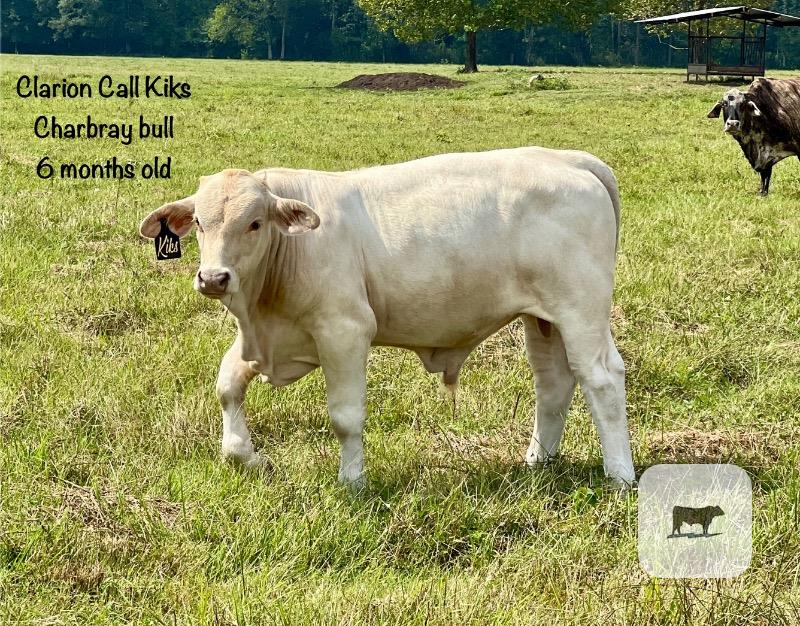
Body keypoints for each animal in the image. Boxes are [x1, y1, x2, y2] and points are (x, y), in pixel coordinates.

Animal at [138, 147, 635, 490]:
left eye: (255, 223)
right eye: (200, 223)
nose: (213, 277)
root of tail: (569, 159)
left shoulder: (344, 331)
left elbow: (345, 415)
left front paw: (352, 481)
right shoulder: (272, 340)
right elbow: (227, 385)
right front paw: (246, 455)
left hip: (581, 310)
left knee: (602, 379)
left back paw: (620, 474)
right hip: (543, 319)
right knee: (553, 382)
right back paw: (538, 460)